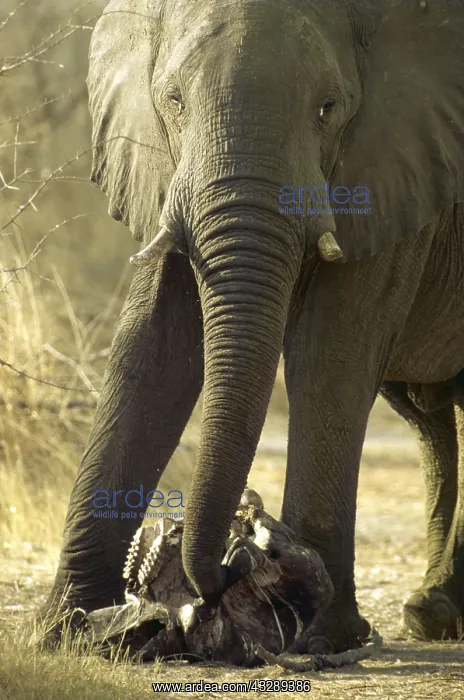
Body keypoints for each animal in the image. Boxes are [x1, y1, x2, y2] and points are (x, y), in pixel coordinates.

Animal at [41, 0, 464, 653]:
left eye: (328, 108)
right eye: (173, 100)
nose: (236, 552)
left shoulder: (395, 161)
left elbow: (330, 353)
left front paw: (322, 634)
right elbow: (155, 350)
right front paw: (66, 628)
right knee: (430, 416)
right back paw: (432, 614)